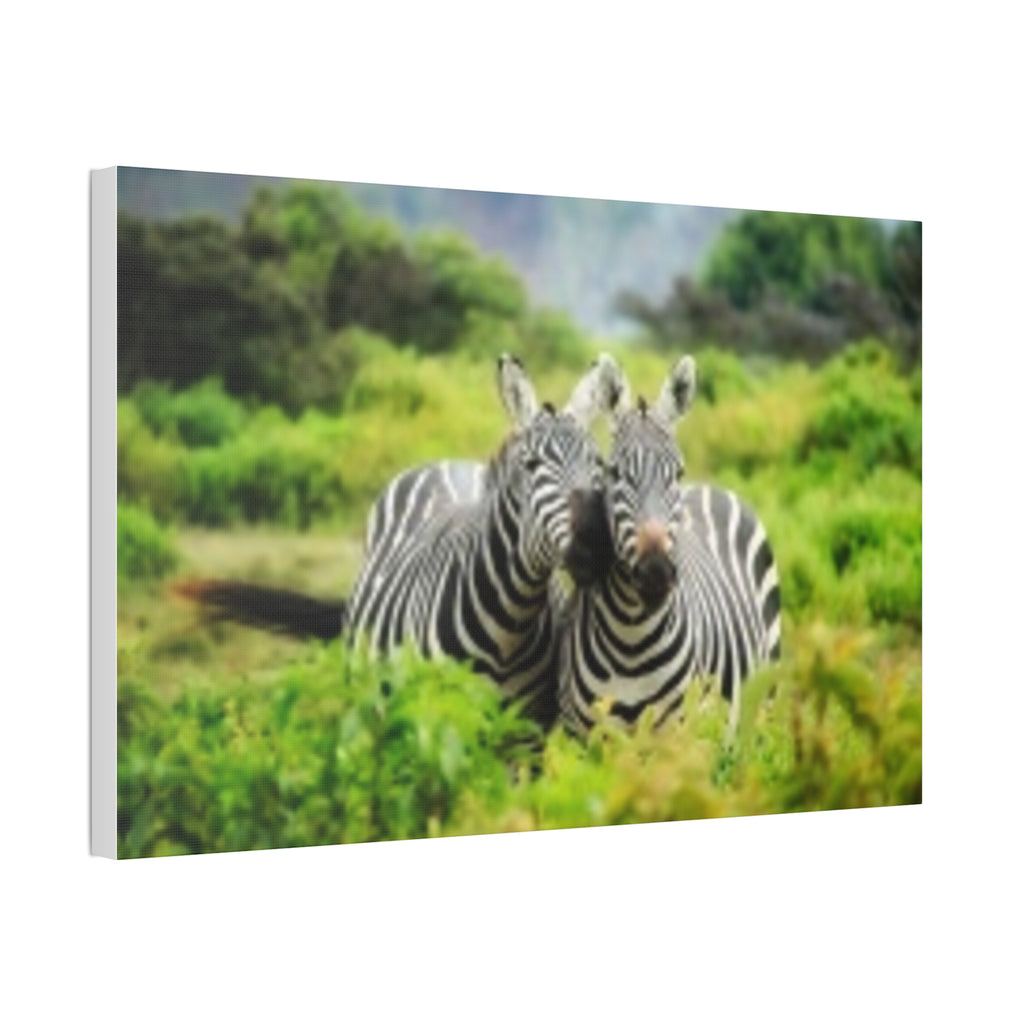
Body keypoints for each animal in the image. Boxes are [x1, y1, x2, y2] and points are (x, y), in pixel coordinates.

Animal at [557, 355, 782, 735]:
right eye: (614, 472)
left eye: (677, 473)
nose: (656, 572)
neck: (631, 639)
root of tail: (711, 487)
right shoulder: (583, 734)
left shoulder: (676, 731)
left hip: (760, 704)